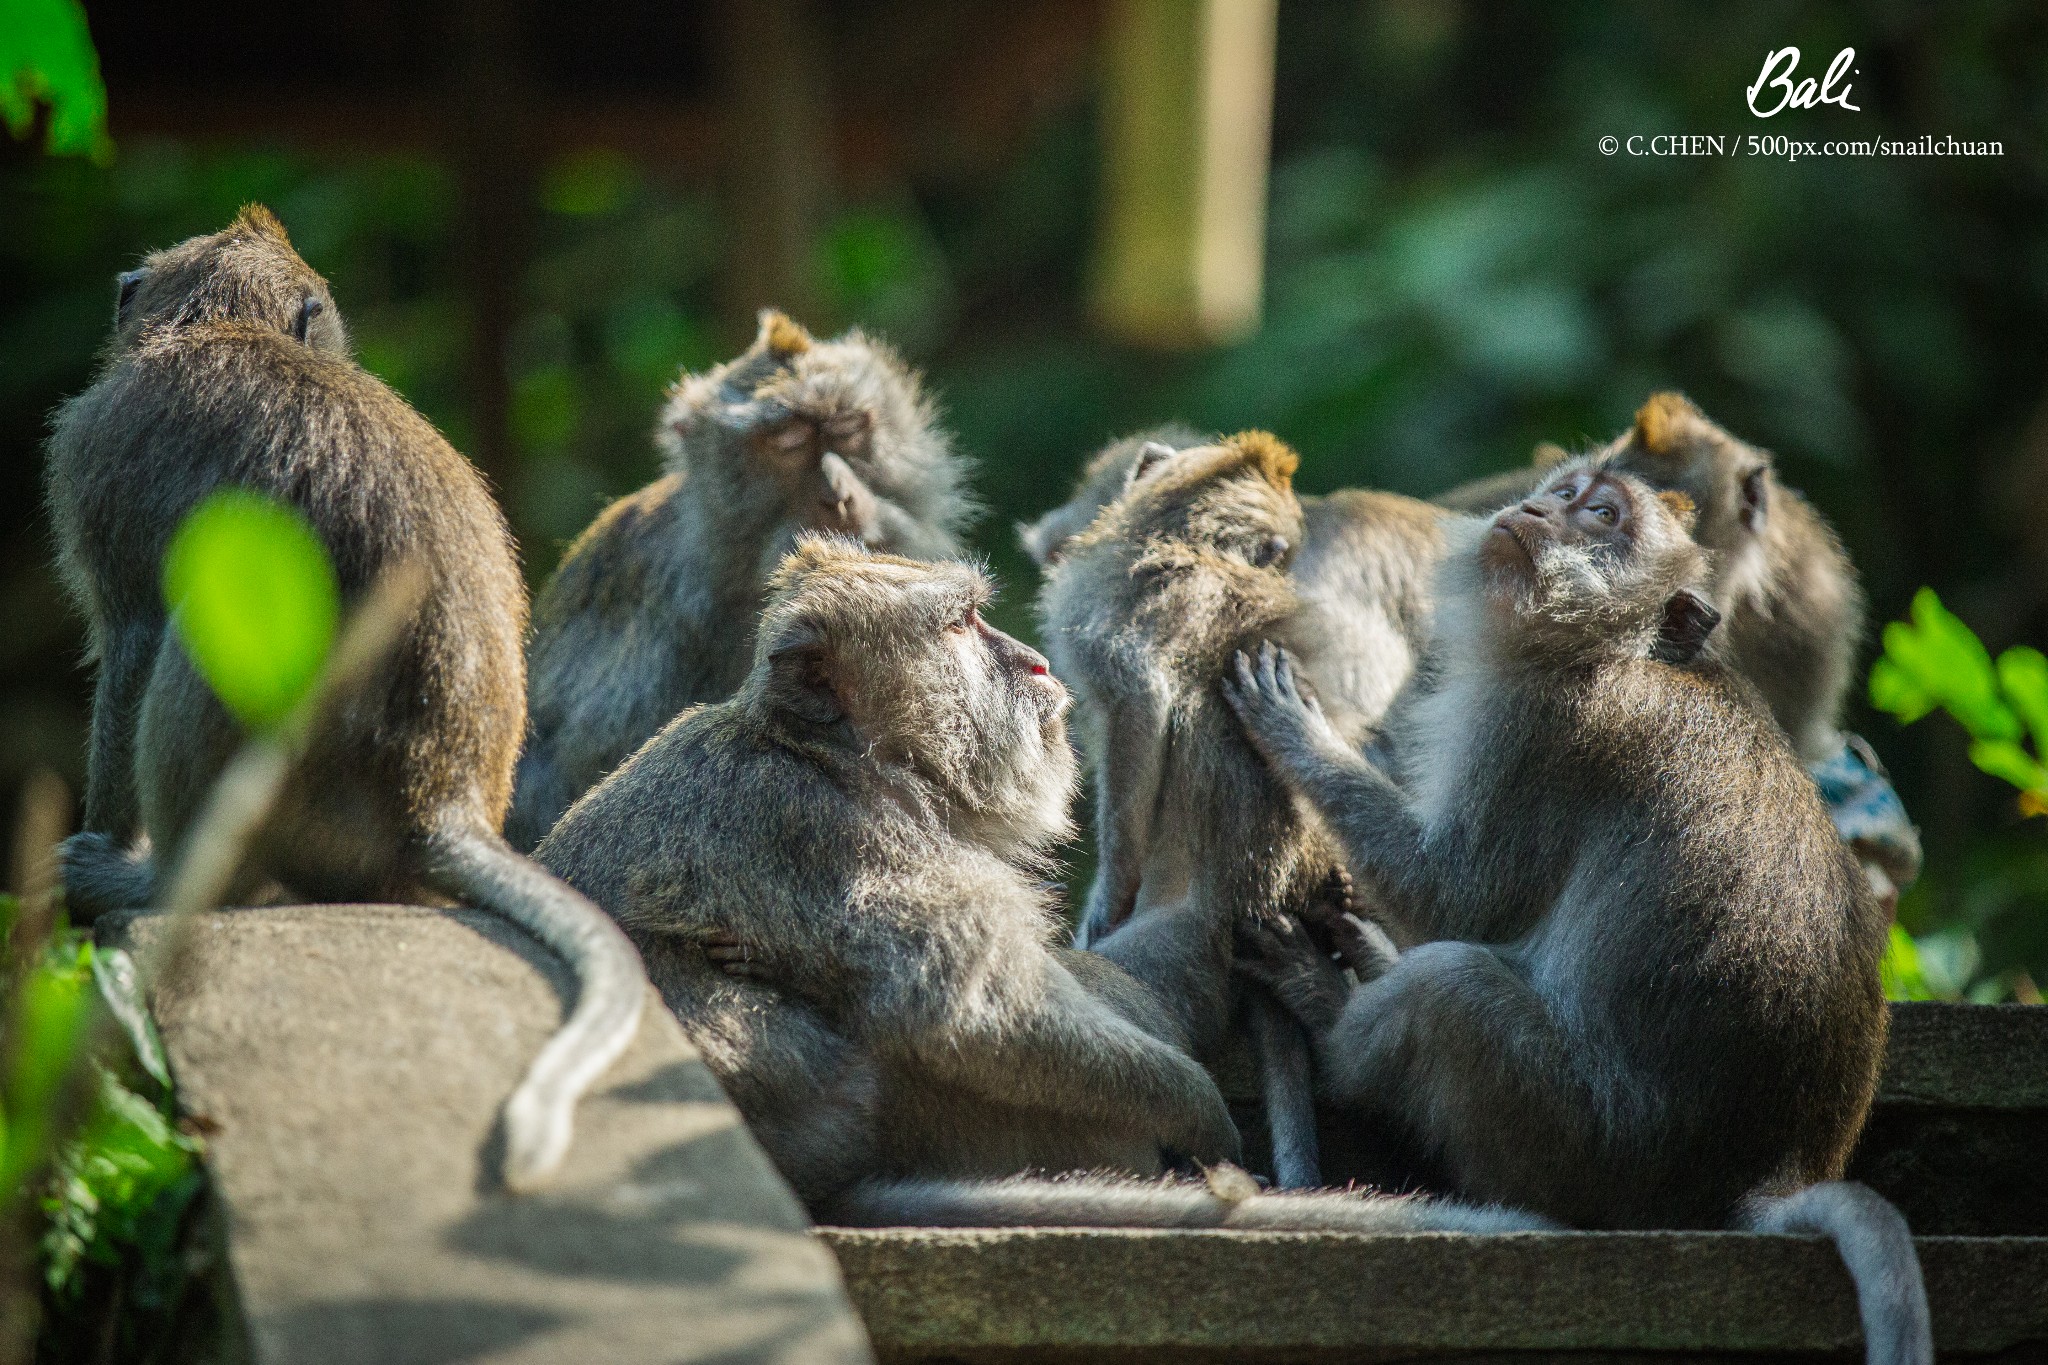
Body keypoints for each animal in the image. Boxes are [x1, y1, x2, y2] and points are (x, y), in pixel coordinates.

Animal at [46, 205, 638, 1195]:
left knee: (197, 635)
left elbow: (130, 635)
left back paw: (165, 885)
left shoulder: (99, 453)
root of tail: (438, 802)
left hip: (309, 792)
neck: (219, 325)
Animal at [1040, 435, 1359, 1186]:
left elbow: (1141, 711)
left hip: (1185, 952)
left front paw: (1106, 898)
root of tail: (1271, 897)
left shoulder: (1111, 607)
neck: (1176, 532)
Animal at [1220, 458, 1925, 1365]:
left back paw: (1330, 1013)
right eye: (1565, 490)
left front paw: (1295, 726)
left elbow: (1453, 894)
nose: (1535, 507)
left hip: (1584, 1137)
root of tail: (1762, 1175)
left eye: (1603, 515)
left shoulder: (1546, 723)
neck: (1620, 646)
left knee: (1452, 987)